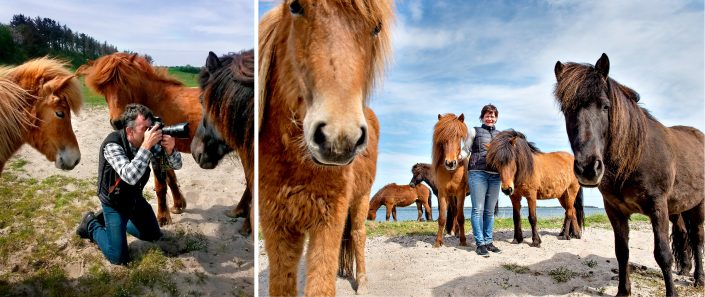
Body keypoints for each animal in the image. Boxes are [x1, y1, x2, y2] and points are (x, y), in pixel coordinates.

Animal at [77, 53, 198, 224]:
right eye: (104, 89)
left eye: (127, 83)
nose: (117, 122)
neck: (155, 98)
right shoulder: (163, 147)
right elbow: (171, 178)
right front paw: (178, 205)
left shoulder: (156, 149)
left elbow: (161, 185)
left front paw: (163, 217)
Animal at [258, 1, 394, 294]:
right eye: (295, 6)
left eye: (376, 27)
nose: (339, 137)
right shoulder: (277, 226)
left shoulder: (328, 221)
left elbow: (321, 284)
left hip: (361, 197)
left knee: (358, 234)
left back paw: (361, 281)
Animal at [428, 112, 468, 246]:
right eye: (442, 138)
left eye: (459, 136)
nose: (450, 163)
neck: (452, 172)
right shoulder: (443, 193)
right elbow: (442, 218)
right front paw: (438, 242)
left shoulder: (461, 193)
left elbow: (461, 217)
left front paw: (463, 240)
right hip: (451, 196)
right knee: (454, 211)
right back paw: (455, 232)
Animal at [552, 52, 700, 294]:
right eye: (566, 110)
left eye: (605, 106)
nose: (588, 169)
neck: (634, 157)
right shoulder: (614, 210)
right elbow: (622, 252)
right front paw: (623, 291)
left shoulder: (658, 206)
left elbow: (663, 255)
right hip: (677, 209)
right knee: (684, 234)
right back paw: (686, 269)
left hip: (698, 206)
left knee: (697, 237)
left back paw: (699, 278)